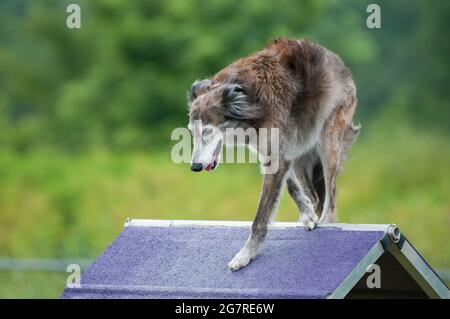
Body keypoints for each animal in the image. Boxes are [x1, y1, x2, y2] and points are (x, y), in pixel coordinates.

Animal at [185, 38, 358, 272]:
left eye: (207, 132)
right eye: (192, 132)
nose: (194, 167)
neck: (248, 99)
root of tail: (338, 62)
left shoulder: (276, 158)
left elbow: (260, 217)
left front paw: (245, 255)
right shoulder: (275, 156)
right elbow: (293, 190)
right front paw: (307, 214)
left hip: (328, 145)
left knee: (330, 202)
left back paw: (325, 223)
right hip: (301, 159)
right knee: (315, 196)